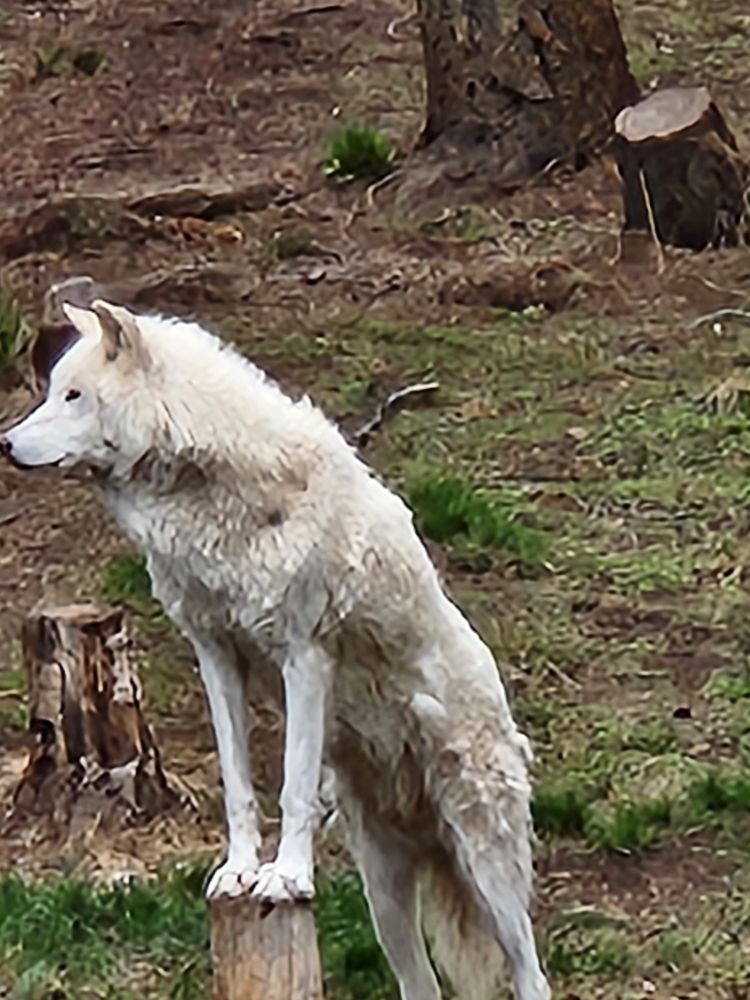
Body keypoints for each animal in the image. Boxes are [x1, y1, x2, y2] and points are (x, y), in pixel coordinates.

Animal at [1, 298, 551, 1000]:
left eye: (74, 395)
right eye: (51, 391)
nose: (5, 443)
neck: (206, 484)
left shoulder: (305, 656)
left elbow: (290, 788)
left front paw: (285, 877)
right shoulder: (215, 653)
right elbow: (238, 784)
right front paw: (240, 871)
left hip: (490, 875)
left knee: (531, 973)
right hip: (386, 900)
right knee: (419, 985)